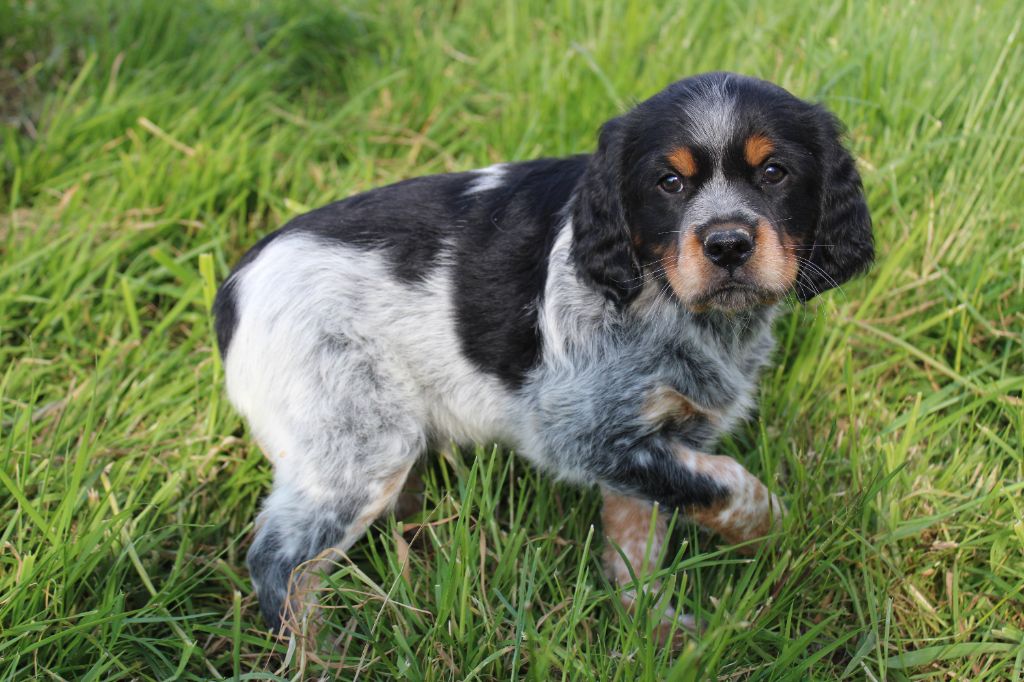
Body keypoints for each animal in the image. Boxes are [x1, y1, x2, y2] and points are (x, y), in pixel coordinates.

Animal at [214, 71, 872, 630]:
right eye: (670, 183)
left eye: (775, 173)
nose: (728, 244)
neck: (665, 298)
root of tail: (234, 290)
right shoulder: (574, 431)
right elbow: (733, 485)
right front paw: (781, 535)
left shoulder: (647, 438)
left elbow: (641, 534)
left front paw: (656, 631)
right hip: (359, 448)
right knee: (280, 564)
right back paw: (319, 653)